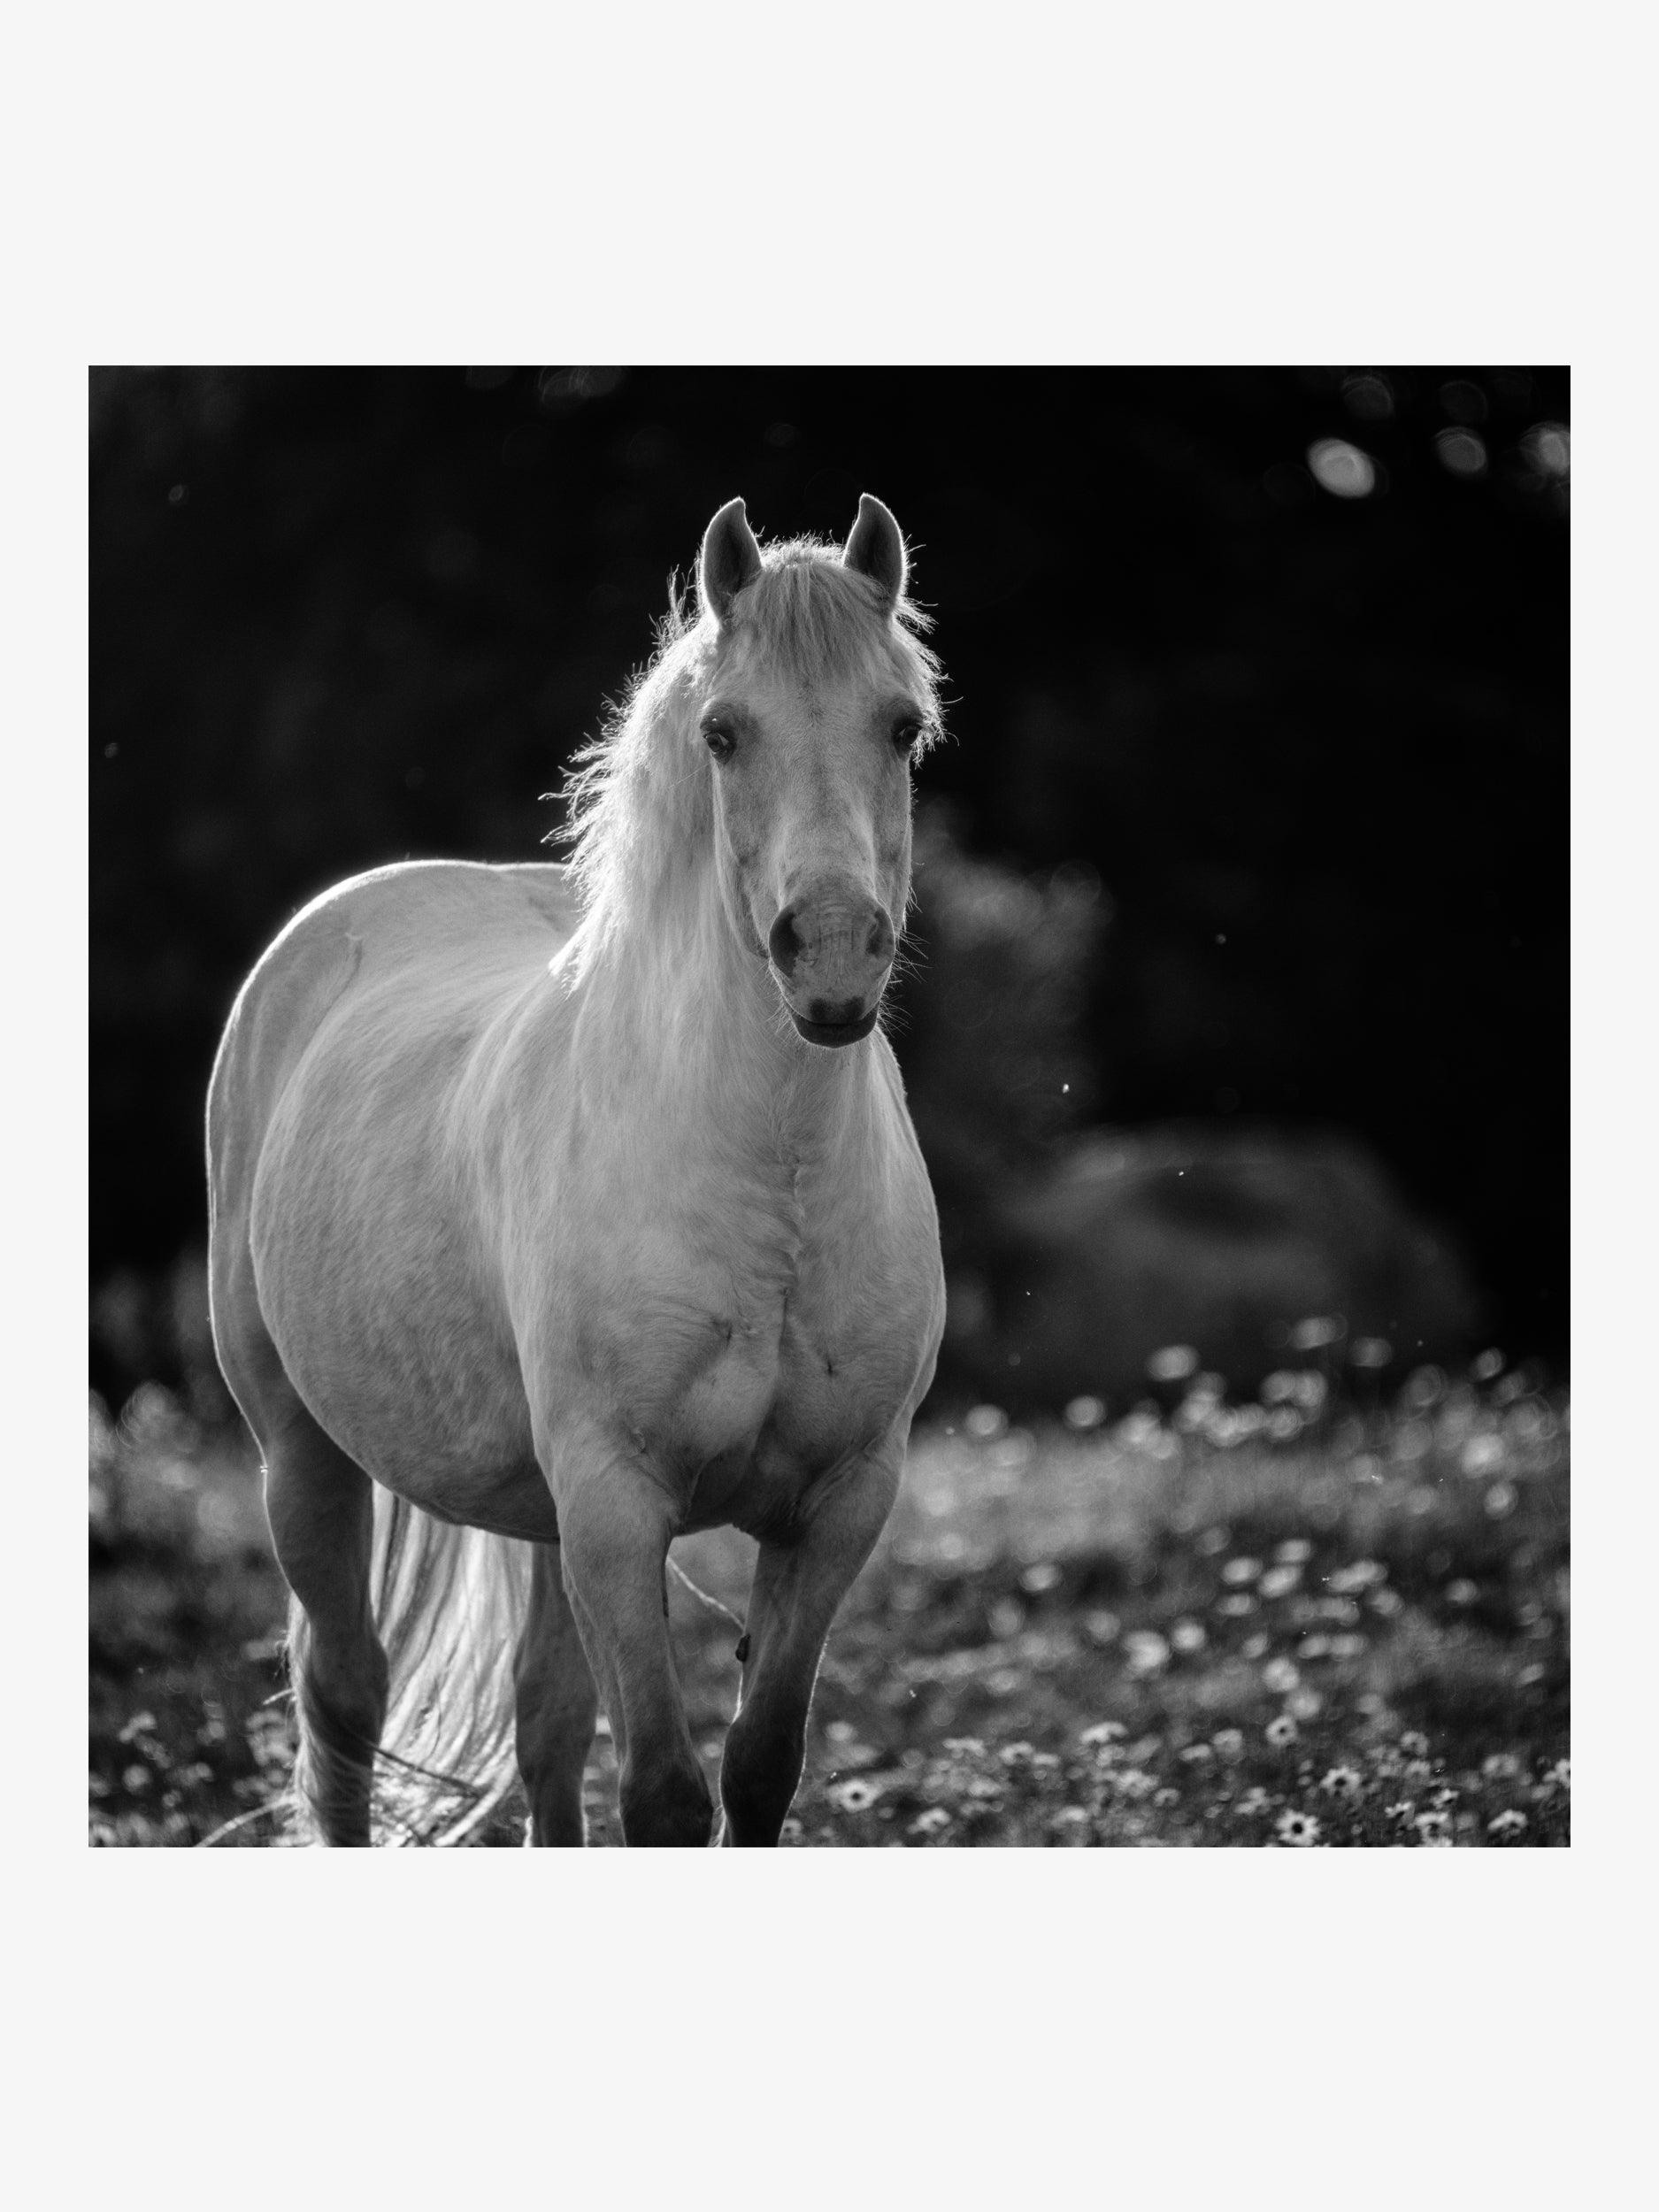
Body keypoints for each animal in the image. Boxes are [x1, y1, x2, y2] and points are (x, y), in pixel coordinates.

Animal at [206, 493, 948, 1846]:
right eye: (722, 731)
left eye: (901, 726)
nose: (829, 960)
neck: (770, 1184)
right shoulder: (613, 1500)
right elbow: (660, 1793)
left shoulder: (839, 1503)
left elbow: (760, 1766)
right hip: (302, 1455)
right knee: (343, 1706)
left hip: (543, 1521)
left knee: (543, 1722)